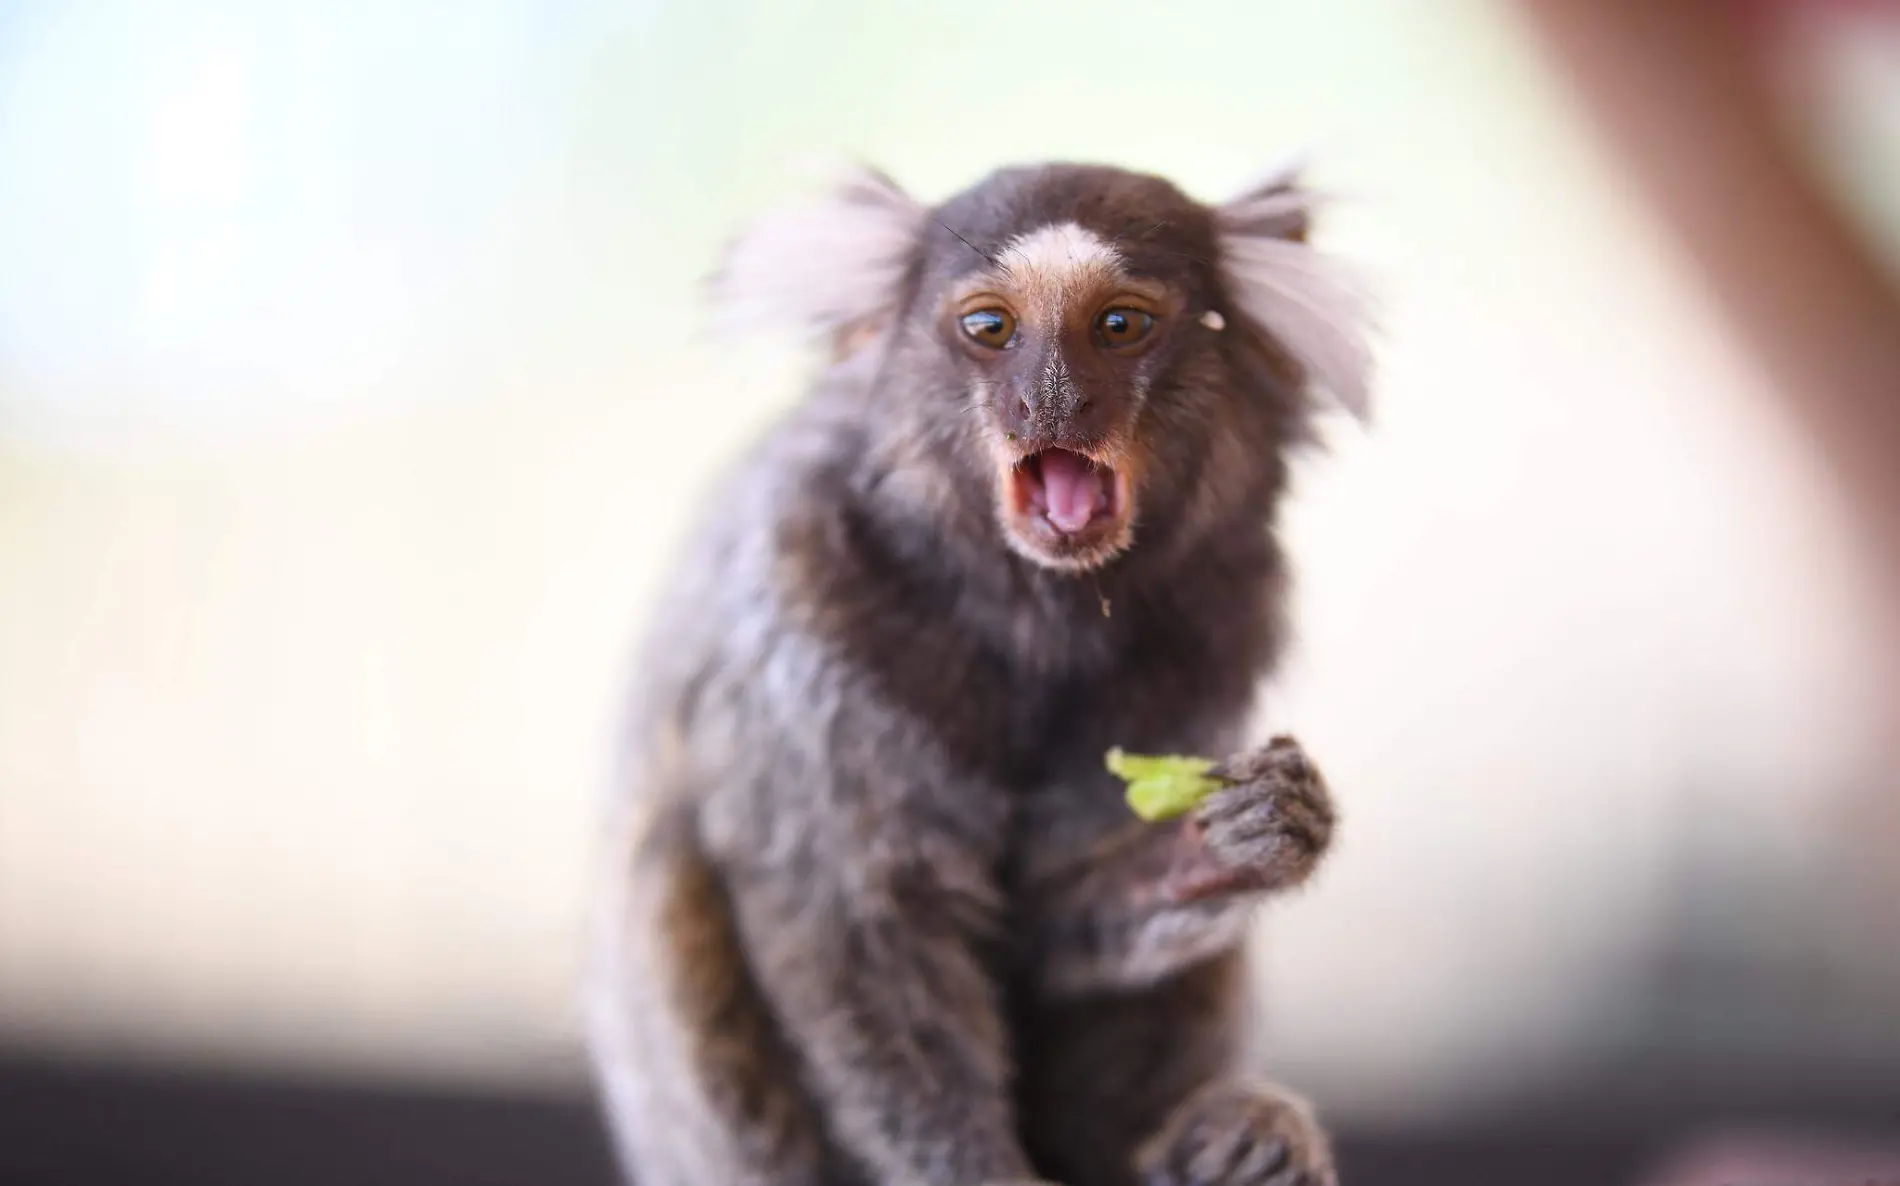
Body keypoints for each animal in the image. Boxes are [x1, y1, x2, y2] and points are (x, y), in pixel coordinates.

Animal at [585, 159, 1375, 1186]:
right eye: (990, 327)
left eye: (1119, 325)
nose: (1051, 400)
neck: (1034, 616)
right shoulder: (807, 596)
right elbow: (856, 923)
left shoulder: (1213, 636)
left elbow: (1050, 926)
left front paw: (1239, 837)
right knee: (669, 875)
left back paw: (1218, 1144)